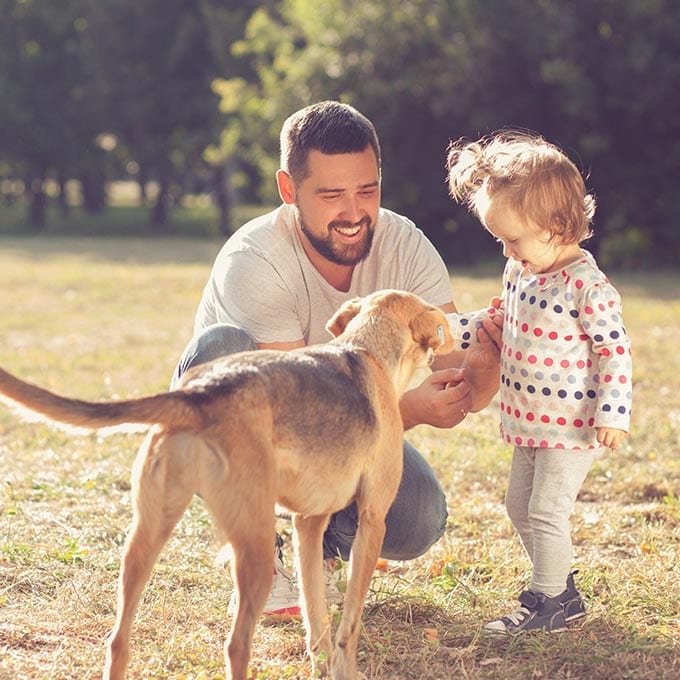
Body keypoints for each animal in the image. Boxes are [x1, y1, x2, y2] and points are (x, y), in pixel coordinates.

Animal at [0, 289, 455, 679]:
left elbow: (316, 619)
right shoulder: (372, 519)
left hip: (145, 539)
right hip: (252, 545)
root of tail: (202, 392)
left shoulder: (307, 524)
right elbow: (348, 626)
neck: (365, 349)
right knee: (236, 645)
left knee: (117, 640)